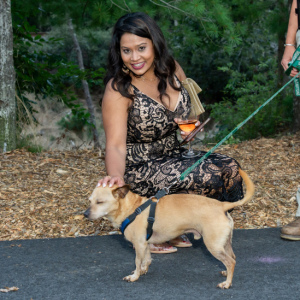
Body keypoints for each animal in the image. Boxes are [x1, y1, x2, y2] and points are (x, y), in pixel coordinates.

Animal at [84, 169, 253, 288]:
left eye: (100, 202)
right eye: (90, 201)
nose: (85, 214)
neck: (132, 208)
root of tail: (222, 205)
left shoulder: (139, 245)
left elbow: (138, 261)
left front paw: (135, 276)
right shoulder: (145, 245)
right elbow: (146, 260)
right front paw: (142, 271)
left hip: (213, 246)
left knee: (230, 261)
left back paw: (227, 283)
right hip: (224, 244)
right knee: (232, 258)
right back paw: (226, 273)